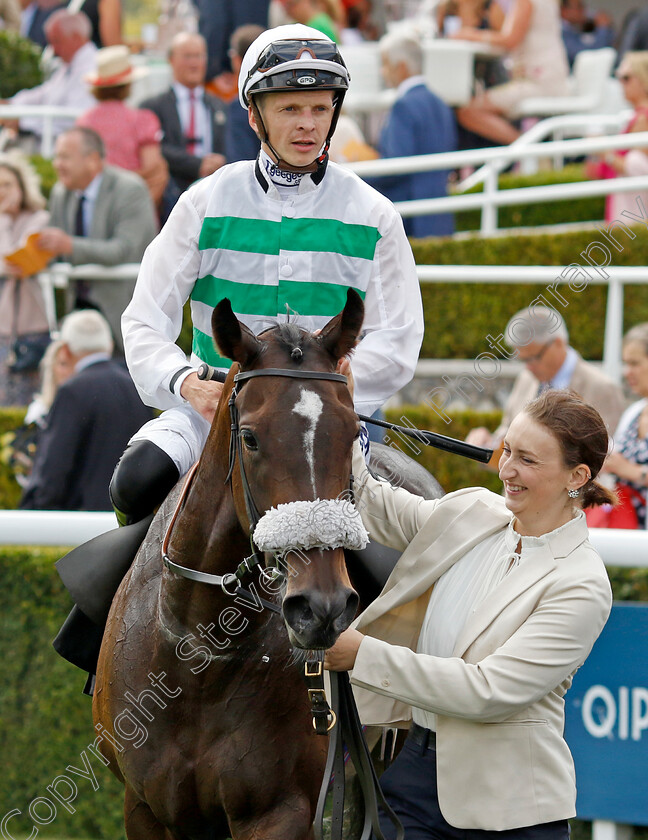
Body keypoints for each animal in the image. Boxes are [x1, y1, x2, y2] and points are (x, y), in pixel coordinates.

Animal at [93, 290, 372, 840]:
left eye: (353, 432)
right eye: (250, 438)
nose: (323, 607)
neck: (199, 655)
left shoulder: (281, 811)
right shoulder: (145, 807)